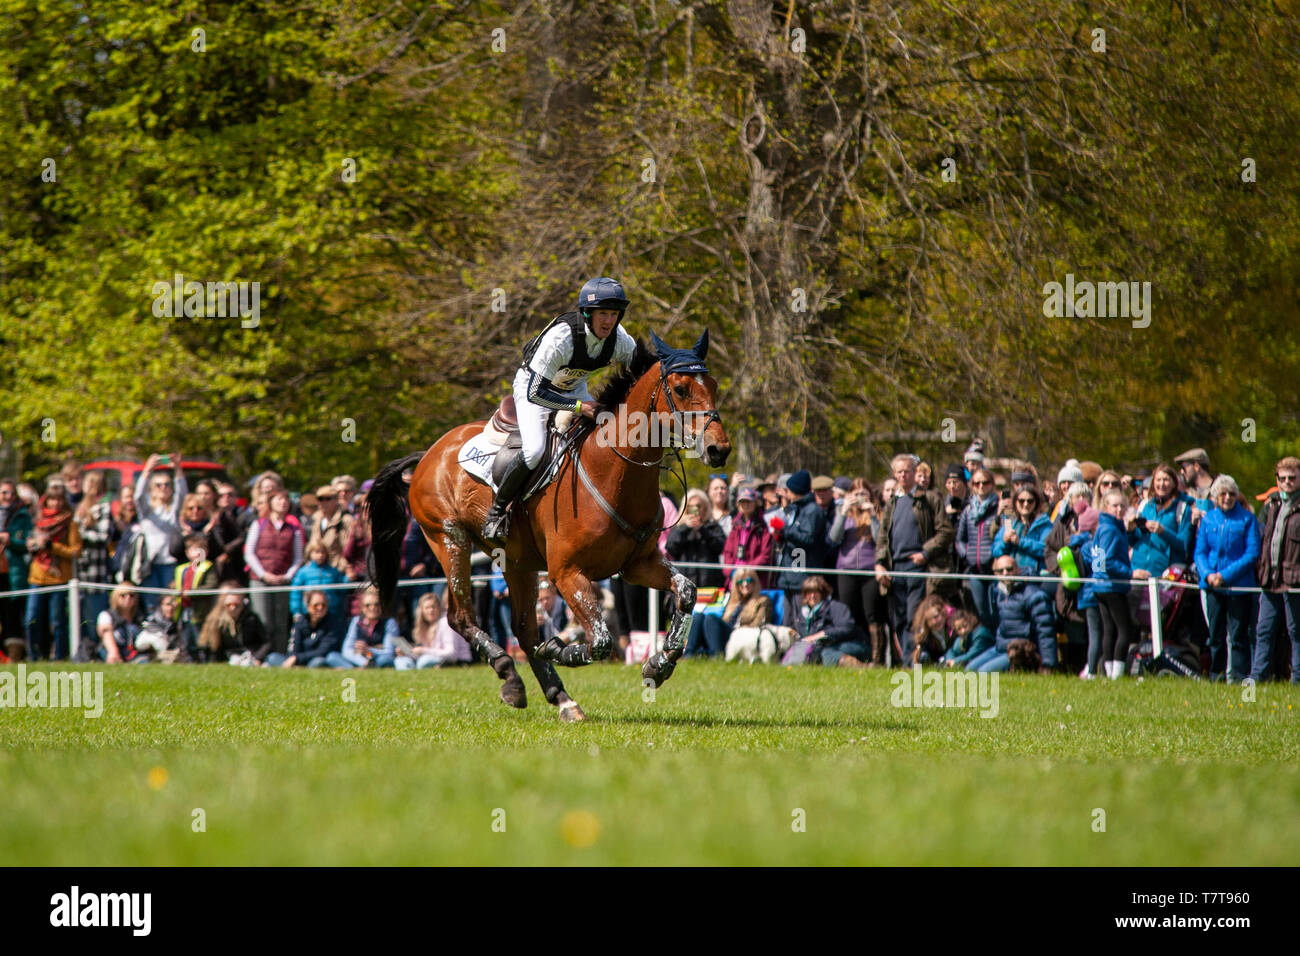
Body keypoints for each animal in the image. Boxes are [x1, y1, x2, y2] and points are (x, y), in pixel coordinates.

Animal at [366, 332, 733, 723]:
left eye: (712, 385)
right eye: (680, 389)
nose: (719, 449)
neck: (614, 470)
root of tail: (429, 454)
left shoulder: (638, 565)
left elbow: (687, 591)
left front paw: (659, 665)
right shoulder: (567, 573)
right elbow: (600, 640)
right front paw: (558, 648)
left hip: (516, 561)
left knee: (523, 629)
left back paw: (561, 698)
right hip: (449, 539)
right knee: (461, 616)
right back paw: (510, 674)